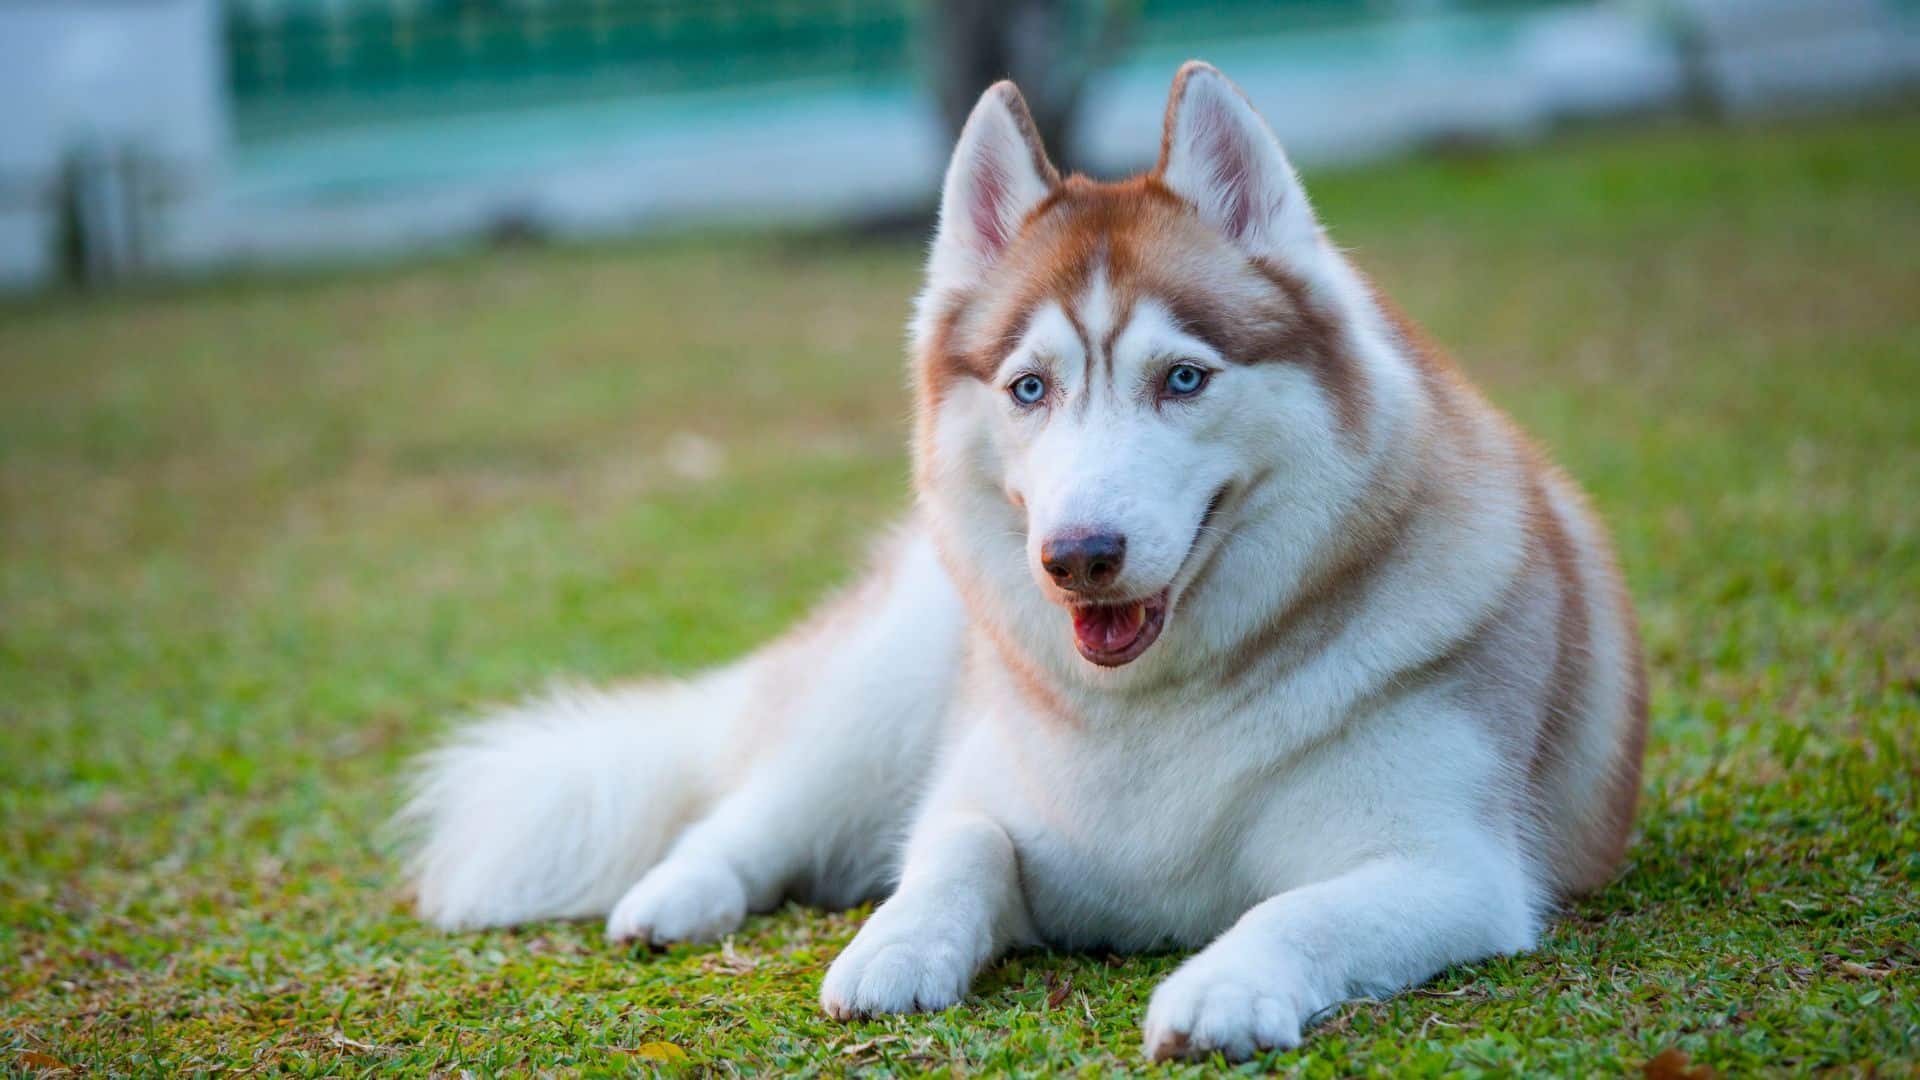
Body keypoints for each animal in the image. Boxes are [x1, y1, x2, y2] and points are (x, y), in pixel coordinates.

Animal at [397, 62, 1643, 1053]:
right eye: (1030, 388)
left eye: (1182, 378)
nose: (1078, 556)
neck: (1156, 711)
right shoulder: (980, 794)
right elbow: (958, 849)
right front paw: (896, 946)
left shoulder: (1451, 871)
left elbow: (1297, 909)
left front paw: (1225, 986)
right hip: (882, 693)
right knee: (750, 811)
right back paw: (675, 898)